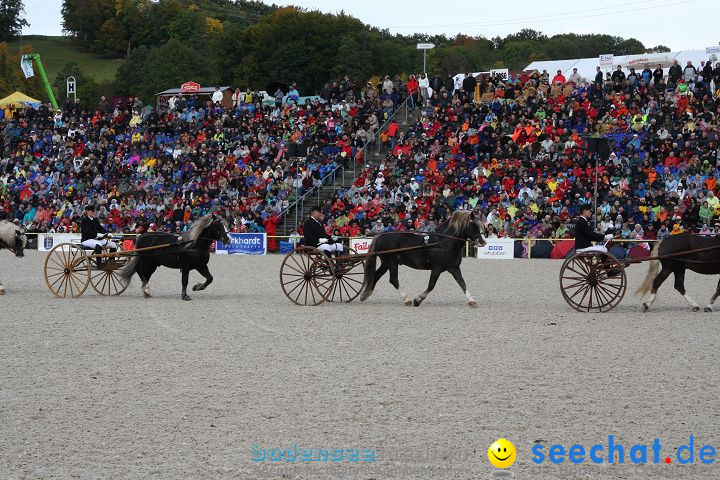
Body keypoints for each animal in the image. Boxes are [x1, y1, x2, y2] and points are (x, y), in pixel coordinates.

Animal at [358, 211, 486, 308]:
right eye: (473, 226)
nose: (483, 242)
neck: (443, 242)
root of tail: (381, 236)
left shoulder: (454, 268)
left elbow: (462, 283)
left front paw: (471, 300)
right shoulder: (437, 268)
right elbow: (431, 285)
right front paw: (418, 299)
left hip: (386, 263)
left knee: (376, 275)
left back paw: (366, 294)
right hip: (392, 262)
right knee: (393, 279)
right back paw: (407, 299)